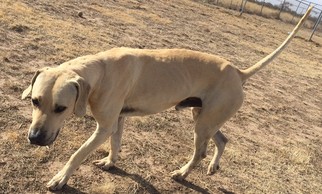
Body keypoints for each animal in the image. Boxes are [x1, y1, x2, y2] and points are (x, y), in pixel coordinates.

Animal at [21, 7, 310, 191]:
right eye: (34, 101)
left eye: (61, 108)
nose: (34, 139)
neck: (101, 70)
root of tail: (239, 72)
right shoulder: (118, 121)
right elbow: (115, 144)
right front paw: (110, 162)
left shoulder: (103, 127)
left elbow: (77, 154)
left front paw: (60, 179)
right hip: (204, 117)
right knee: (222, 139)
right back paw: (213, 167)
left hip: (203, 124)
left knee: (201, 152)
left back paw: (183, 173)